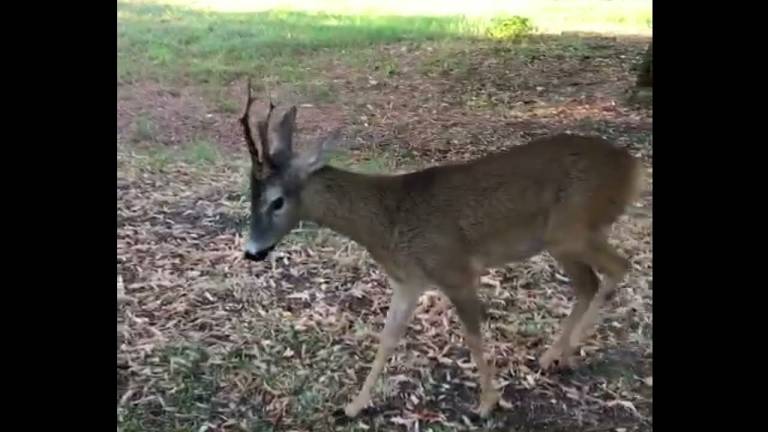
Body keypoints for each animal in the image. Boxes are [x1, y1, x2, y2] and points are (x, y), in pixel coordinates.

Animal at [237, 82, 644, 416]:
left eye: (277, 201)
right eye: (251, 195)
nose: (252, 251)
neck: (388, 220)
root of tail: (633, 168)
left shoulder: (455, 269)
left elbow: (474, 337)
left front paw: (486, 404)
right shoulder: (409, 281)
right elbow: (387, 338)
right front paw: (354, 406)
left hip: (570, 230)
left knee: (618, 268)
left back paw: (566, 352)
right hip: (565, 239)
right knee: (590, 282)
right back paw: (554, 356)